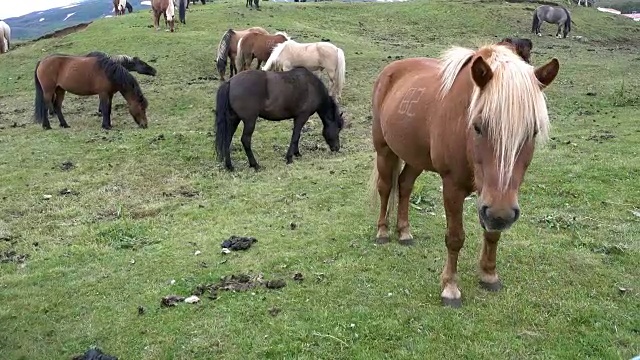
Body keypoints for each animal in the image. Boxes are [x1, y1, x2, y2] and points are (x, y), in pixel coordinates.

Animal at [370, 43, 560, 306]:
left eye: (532, 131)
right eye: (478, 126)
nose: (502, 215)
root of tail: (390, 70)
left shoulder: (493, 198)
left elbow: (492, 234)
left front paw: (489, 275)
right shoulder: (453, 187)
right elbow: (455, 237)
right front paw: (450, 288)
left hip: (416, 157)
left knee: (405, 185)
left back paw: (405, 232)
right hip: (384, 150)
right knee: (386, 187)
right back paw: (383, 232)